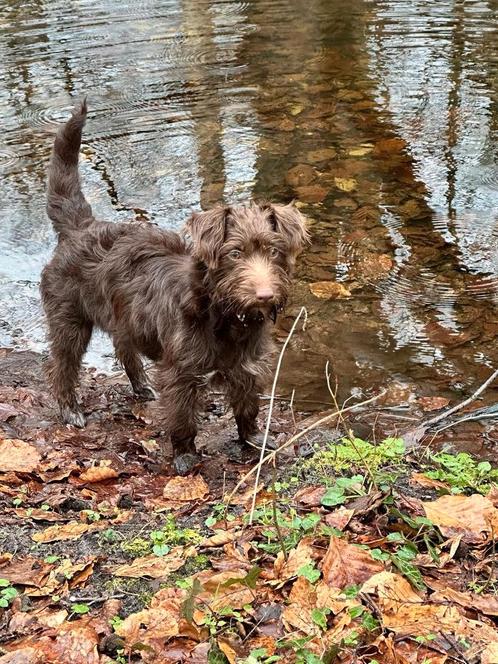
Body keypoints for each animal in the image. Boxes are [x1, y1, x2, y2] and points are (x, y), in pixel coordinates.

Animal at [40, 101, 310, 474]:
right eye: (235, 253)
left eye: (273, 251)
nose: (264, 295)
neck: (224, 316)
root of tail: (80, 227)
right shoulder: (181, 372)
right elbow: (183, 419)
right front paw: (184, 455)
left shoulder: (247, 364)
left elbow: (247, 405)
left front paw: (254, 438)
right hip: (69, 320)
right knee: (63, 366)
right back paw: (71, 409)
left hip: (122, 318)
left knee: (124, 348)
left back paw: (141, 386)